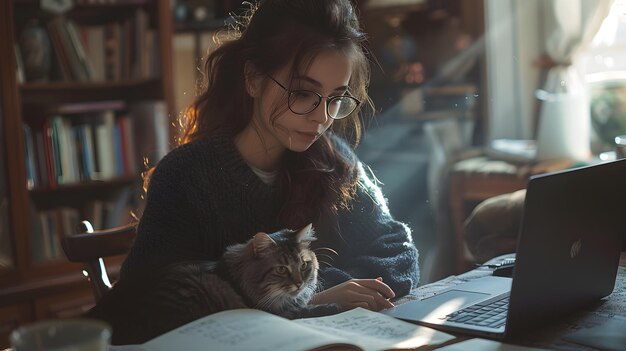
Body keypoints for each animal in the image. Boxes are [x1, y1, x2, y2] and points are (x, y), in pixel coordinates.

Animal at [84, 224, 336, 346]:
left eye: (303, 265)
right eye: (282, 269)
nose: (300, 283)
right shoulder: (276, 311)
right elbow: (309, 310)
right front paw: (330, 307)